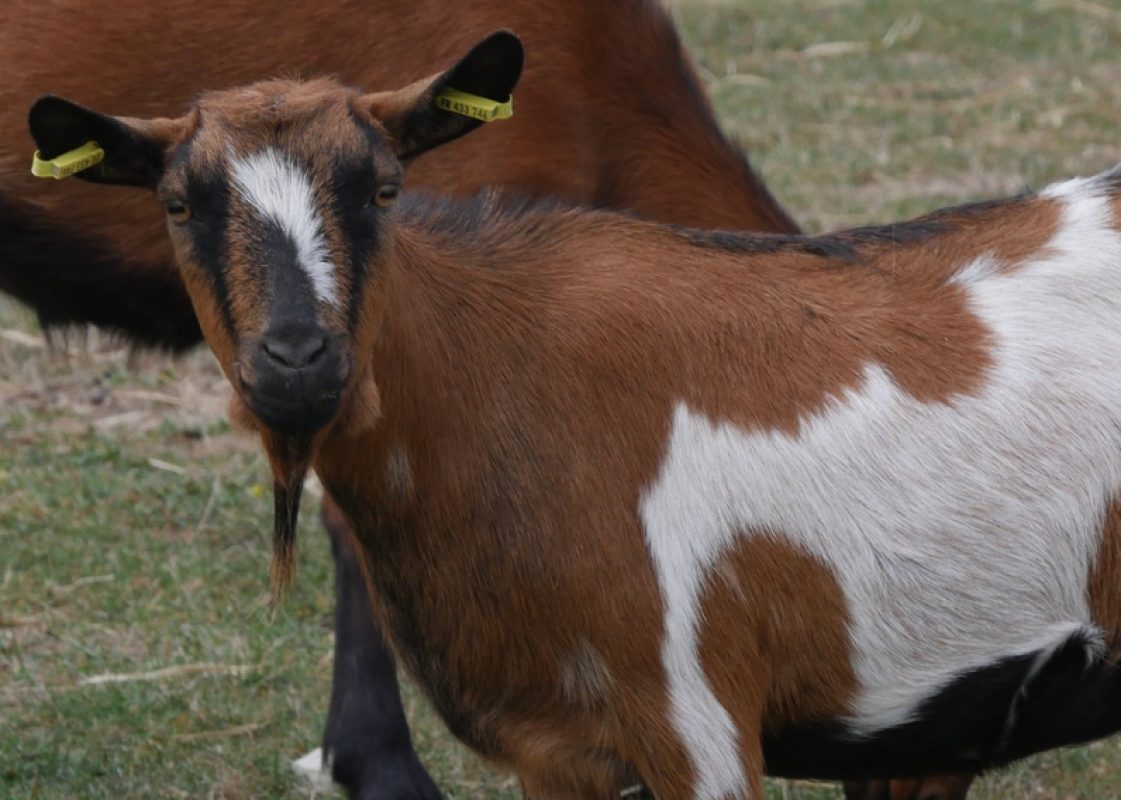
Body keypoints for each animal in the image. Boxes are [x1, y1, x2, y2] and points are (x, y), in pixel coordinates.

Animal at [30, 31, 1121, 799]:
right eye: (178, 204)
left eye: (382, 188)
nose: (298, 359)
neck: (502, 378)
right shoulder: (553, 745)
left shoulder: (699, 724)